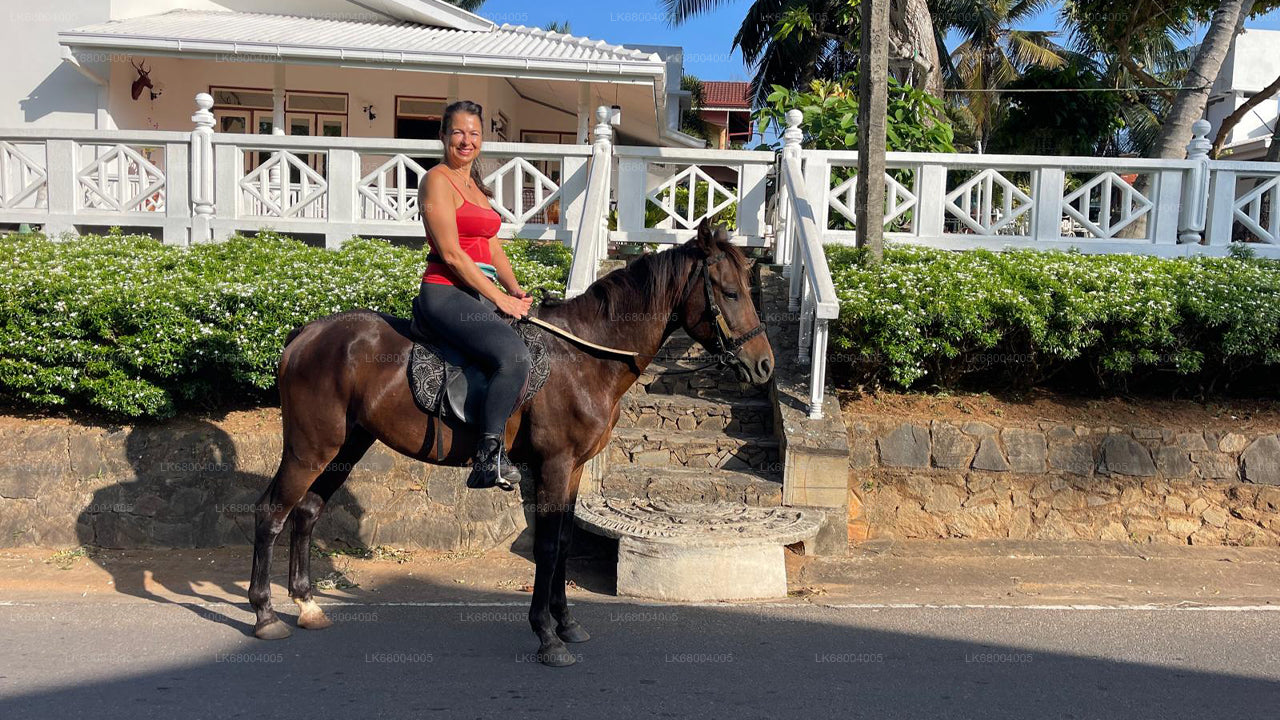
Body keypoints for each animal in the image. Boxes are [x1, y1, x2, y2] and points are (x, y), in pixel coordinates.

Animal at [247, 217, 768, 661]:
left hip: (345, 447)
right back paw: (265, 613)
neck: (586, 356)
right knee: (272, 512)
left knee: (306, 512)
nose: (764, 365)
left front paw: (566, 623)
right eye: (729, 292)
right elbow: (548, 547)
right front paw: (547, 635)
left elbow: (563, 543)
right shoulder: (554, 466)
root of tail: (305, 333)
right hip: (310, 448)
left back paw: (306, 605)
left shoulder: (574, 470)